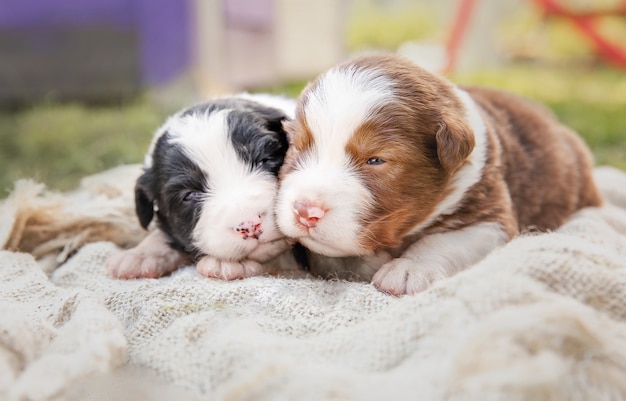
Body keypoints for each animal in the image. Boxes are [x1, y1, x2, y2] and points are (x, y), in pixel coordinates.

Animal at [276, 54, 600, 294]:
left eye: (375, 160)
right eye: (298, 146)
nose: (305, 211)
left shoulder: (490, 215)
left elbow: (441, 241)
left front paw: (408, 268)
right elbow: (326, 256)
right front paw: (368, 261)